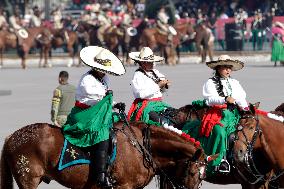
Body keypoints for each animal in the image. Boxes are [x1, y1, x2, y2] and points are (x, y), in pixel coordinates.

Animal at [0, 120, 206, 188]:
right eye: (193, 173)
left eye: (202, 177)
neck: (140, 146)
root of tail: (11, 137)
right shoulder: (124, 186)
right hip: (28, 180)